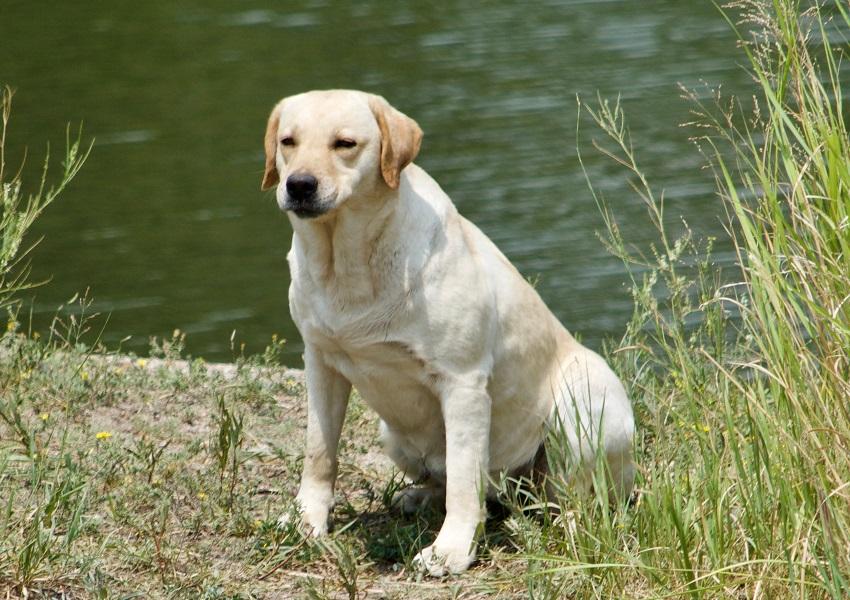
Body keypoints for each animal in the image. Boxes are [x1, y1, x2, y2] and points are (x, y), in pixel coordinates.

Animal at [262, 90, 632, 576]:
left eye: (345, 144)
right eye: (288, 141)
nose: (300, 185)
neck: (350, 262)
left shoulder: (463, 383)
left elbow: (462, 478)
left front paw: (450, 550)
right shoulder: (321, 362)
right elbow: (319, 454)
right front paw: (306, 521)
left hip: (584, 400)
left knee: (581, 495)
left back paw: (571, 526)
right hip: (391, 431)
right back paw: (418, 497)